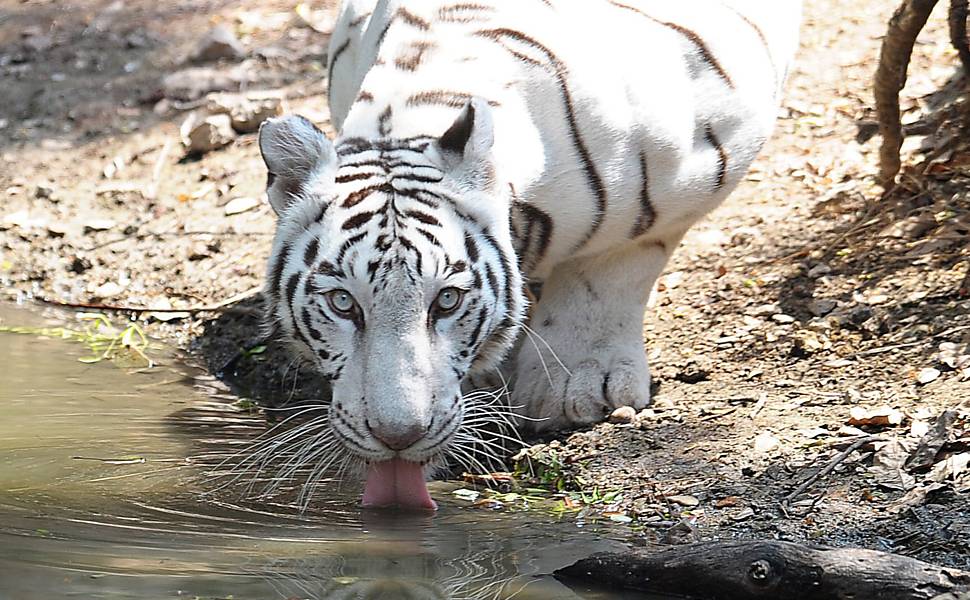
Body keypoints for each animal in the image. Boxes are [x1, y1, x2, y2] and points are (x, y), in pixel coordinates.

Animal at [253, 0, 796, 508]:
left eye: (446, 301)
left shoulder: (689, 180)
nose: (398, 437)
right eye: (343, 303)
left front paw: (579, 387)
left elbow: (611, 270)